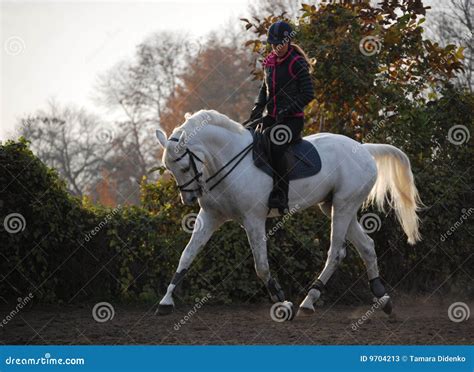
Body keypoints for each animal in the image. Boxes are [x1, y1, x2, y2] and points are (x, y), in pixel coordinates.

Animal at [154, 109, 420, 318]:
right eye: (170, 168)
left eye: (184, 166)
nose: (189, 199)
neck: (225, 160)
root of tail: (363, 148)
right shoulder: (210, 216)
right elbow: (187, 255)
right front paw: (165, 302)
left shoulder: (253, 220)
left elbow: (261, 265)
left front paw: (282, 302)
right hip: (335, 206)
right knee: (366, 246)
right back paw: (382, 299)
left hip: (344, 205)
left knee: (336, 252)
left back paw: (309, 301)